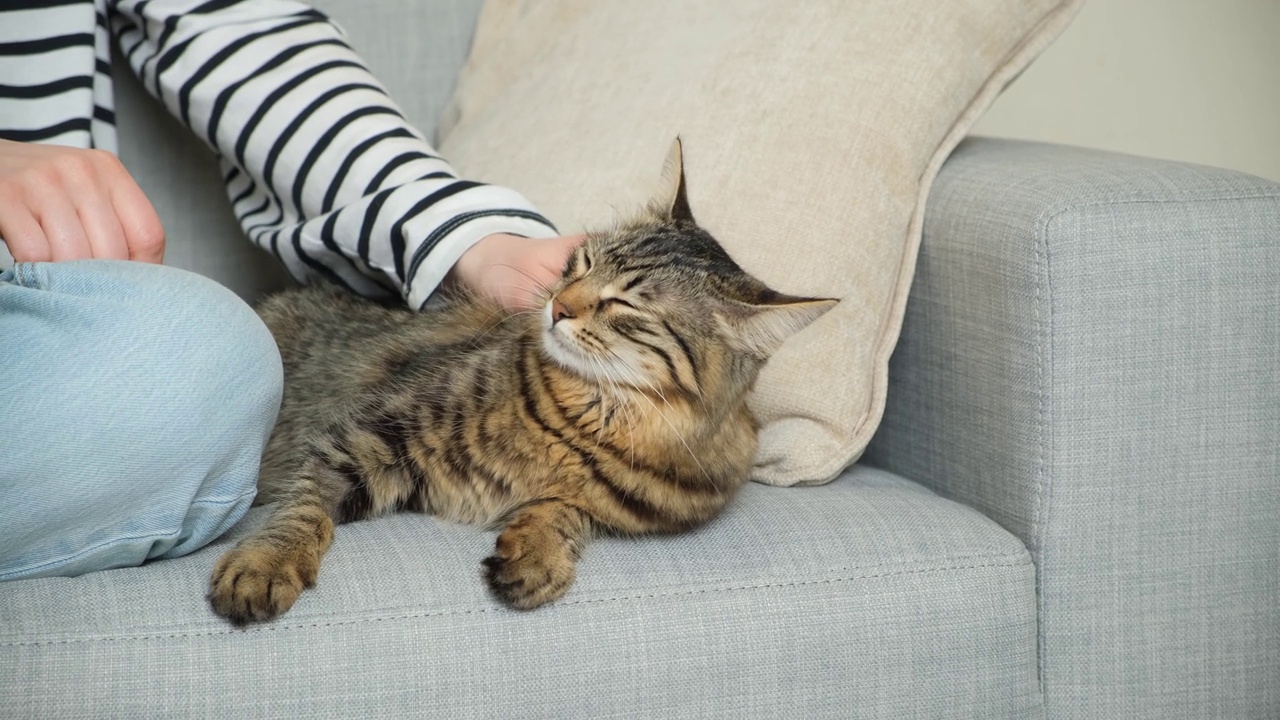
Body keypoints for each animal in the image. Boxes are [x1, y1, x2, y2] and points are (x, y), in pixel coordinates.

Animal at [204, 140, 834, 622]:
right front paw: (264, 565)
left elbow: (563, 512)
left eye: (625, 306)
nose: (558, 306)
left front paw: (536, 555)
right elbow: (302, 510)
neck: (585, 424)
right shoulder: (366, 433)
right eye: (581, 262)